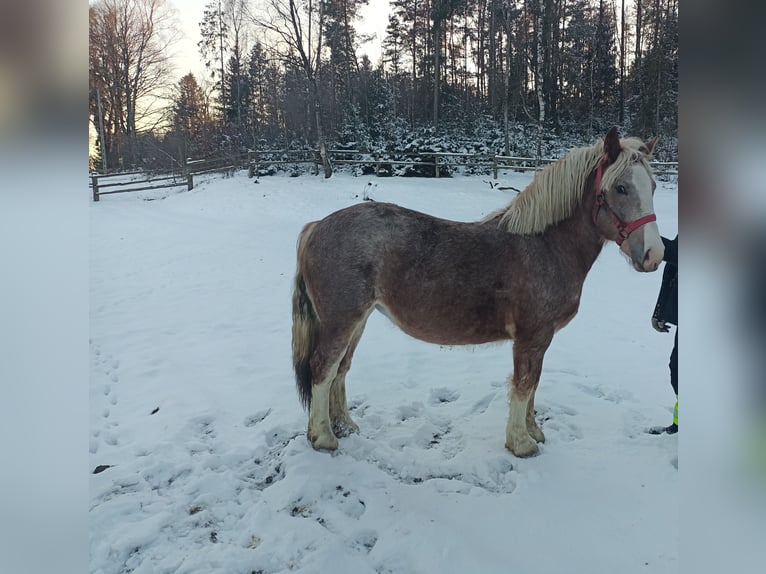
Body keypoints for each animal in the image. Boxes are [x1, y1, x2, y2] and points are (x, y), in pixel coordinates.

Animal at [292, 128, 664, 462]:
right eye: (620, 187)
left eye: (654, 187)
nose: (654, 255)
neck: (545, 246)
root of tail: (316, 227)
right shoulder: (531, 337)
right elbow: (524, 384)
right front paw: (521, 443)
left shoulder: (540, 339)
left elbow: (534, 384)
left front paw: (534, 431)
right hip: (342, 321)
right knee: (323, 368)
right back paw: (323, 437)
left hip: (358, 321)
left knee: (340, 369)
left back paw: (344, 426)